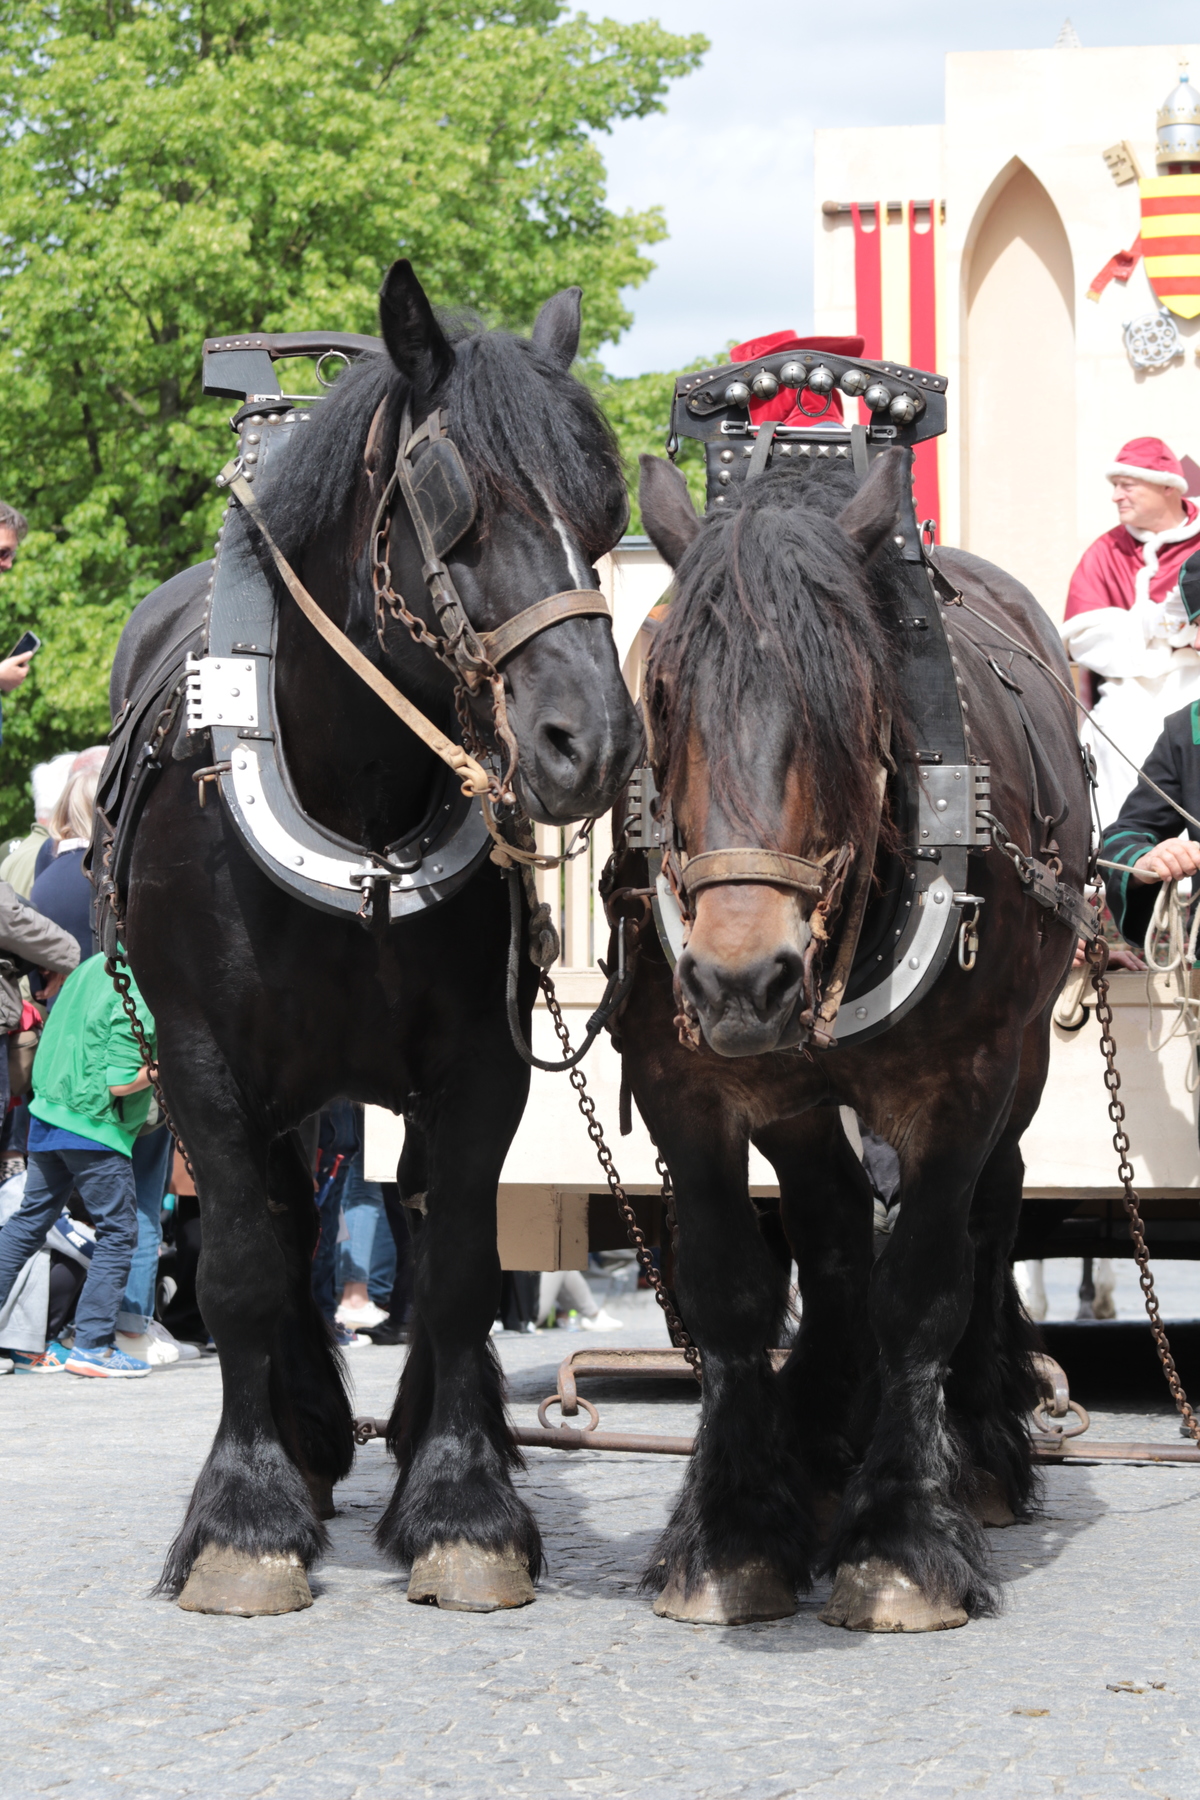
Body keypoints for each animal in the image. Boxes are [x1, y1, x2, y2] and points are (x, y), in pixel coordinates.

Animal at [107, 261, 642, 1617]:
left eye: (606, 502)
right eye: (457, 503)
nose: (592, 743)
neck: (352, 800)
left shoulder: (481, 1063)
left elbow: (454, 1267)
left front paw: (462, 1503)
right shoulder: (201, 1060)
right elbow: (245, 1262)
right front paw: (246, 1515)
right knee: (289, 1228)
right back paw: (301, 1435)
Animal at [608, 446, 1090, 1631]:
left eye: (850, 700)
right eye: (665, 694)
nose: (741, 976)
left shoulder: (964, 1084)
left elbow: (920, 1288)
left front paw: (901, 1543)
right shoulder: (687, 1080)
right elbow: (734, 1288)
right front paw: (735, 1532)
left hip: (1025, 1062)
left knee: (991, 1218)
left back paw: (979, 1451)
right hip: (791, 1087)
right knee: (827, 1231)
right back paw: (824, 1439)